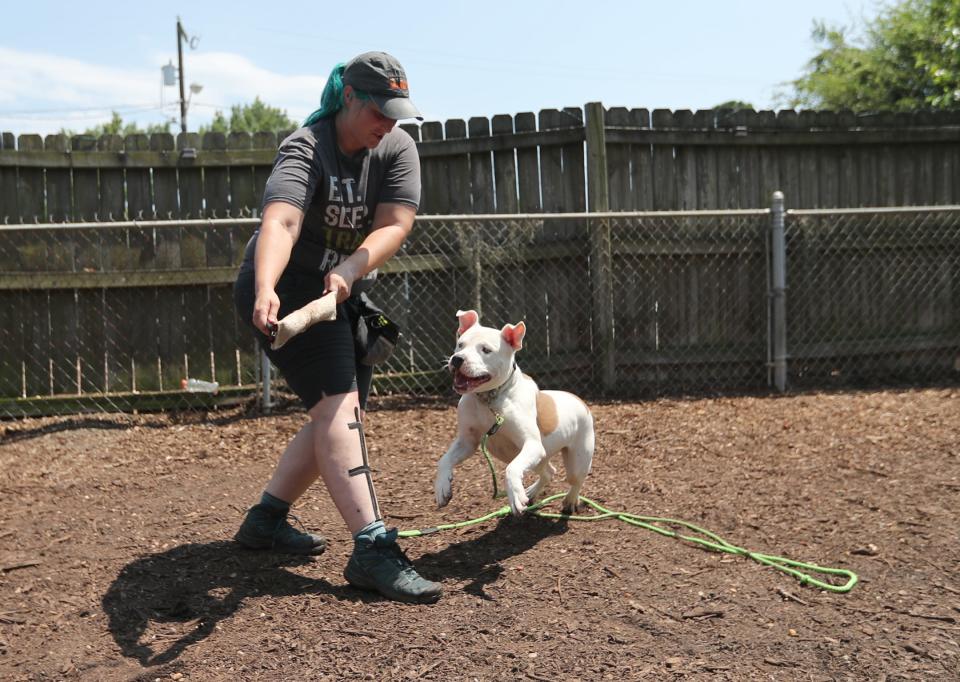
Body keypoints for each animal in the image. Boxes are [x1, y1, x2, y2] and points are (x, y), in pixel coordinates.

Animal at [434, 310, 592, 516]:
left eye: (486, 350)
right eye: (460, 344)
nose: (457, 359)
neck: (489, 399)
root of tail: (580, 400)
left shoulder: (531, 445)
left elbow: (511, 469)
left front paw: (515, 495)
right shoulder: (467, 442)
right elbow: (444, 460)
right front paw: (442, 487)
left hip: (576, 460)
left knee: (576, 481)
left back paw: (570, 500)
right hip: (540, 458)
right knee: (549, 472)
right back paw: (531, 492)